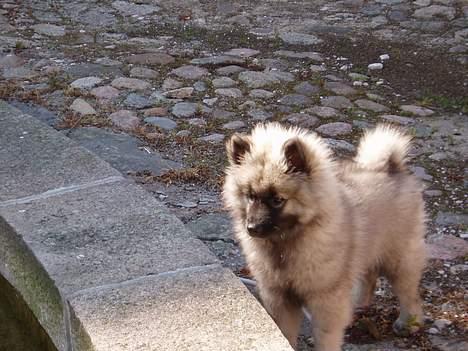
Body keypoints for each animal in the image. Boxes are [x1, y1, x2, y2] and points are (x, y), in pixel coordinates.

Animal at [224, 122, 428, 350]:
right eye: (250, 196)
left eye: (277, 200)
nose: (252, 227)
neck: (286, 242)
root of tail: (391, 167)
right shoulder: (280, 297)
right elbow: (285, 331)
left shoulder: (325, 300)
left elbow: (325, 336)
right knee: (369, 276)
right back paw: (358, 305)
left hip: (398, 258)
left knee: (409, 293)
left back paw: (409, 323)